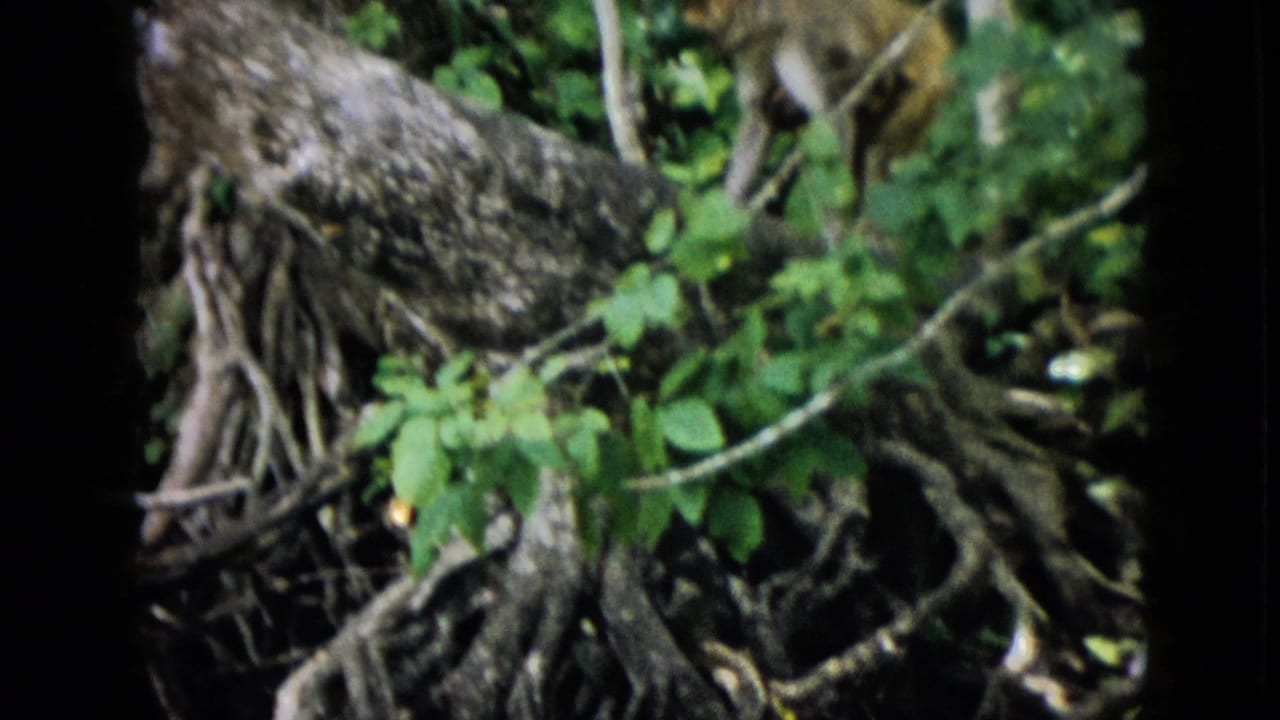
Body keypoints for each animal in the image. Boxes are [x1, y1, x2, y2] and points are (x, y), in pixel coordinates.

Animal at [684, 0, 953, 207]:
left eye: (704, 33)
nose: (708, 49)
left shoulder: (803, 42)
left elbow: (838, 118)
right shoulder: (757, 51)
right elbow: (758, 116)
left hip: (928, 93)